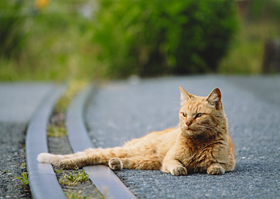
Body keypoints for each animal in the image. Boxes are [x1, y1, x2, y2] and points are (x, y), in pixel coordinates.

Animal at [37, 87, 234, 176]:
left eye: (199, 115)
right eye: (184, 114)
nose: (186, 123)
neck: (198, 142)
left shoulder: (229, 163)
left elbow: (218, 166)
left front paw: (213, 168)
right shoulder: (169, 160)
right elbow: (176, 164)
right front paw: (180, 169)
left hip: (147, 161)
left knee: (118, 159)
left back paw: (116, 164)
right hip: (138, 151)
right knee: (94, 155)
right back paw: (64, 163)